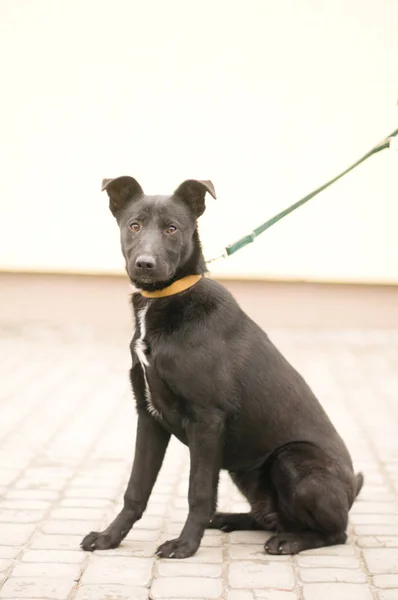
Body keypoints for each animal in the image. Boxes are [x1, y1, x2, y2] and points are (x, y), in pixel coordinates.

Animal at [81, 177, 364, 556]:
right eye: (134, 226)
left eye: (172, 228)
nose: (145, 264)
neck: (165, 299)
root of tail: (351, 492)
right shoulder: (148, 416)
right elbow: (135, 490)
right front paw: (110, 536)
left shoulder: (207, 420)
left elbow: (198, 493)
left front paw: (185, 545)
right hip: (245, 472)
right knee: (267, 516)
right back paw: (231, 518)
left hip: (292, 458)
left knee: (336, 532)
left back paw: (290, 540)